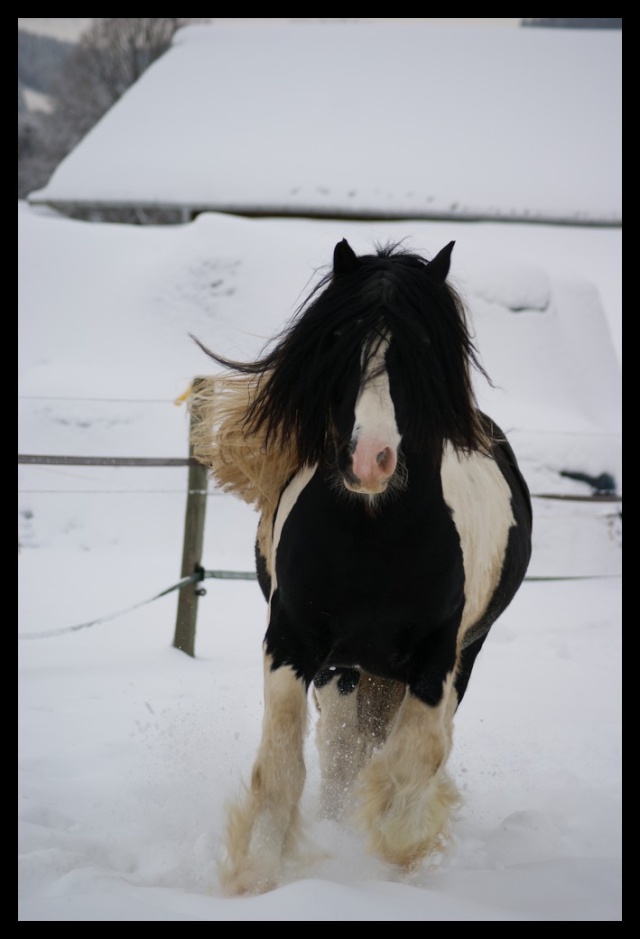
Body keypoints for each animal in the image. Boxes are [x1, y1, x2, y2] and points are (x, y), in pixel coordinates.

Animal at [189, 241, 528, 896]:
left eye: (422, 343)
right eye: (340, 338)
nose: (370, 460)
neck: (376, 535)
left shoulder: (437, 661)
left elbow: (411, 761)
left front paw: (400, 856)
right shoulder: (293, 642)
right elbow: (283, 766)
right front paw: (255, 878)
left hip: (456, 657)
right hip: (344, 670)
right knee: (341, 746)